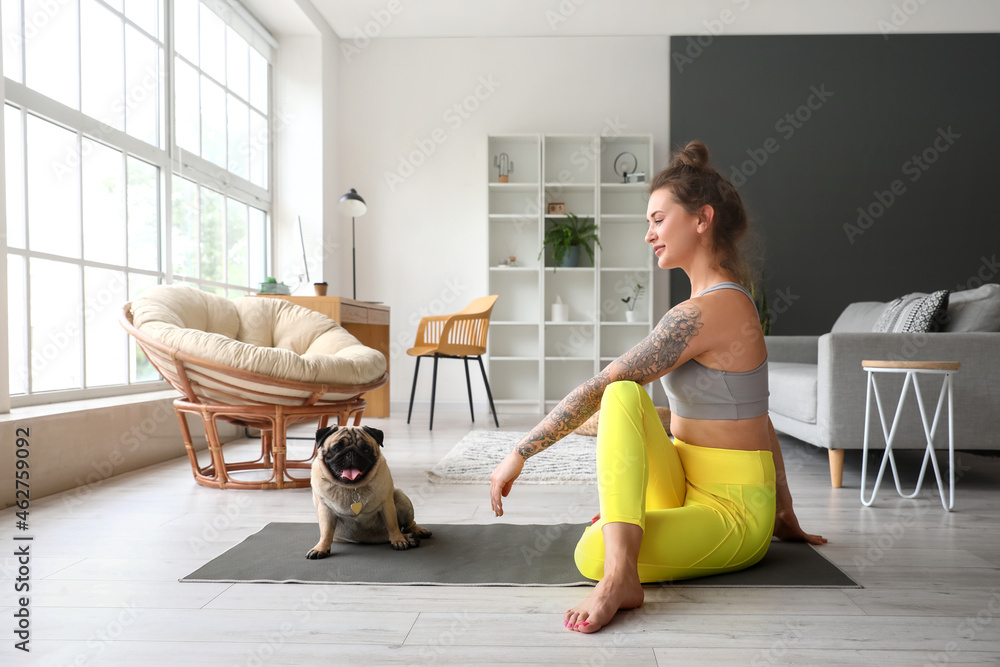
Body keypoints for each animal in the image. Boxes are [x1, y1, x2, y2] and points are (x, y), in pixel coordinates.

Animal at [302, 426, 432, 560]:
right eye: (336, 449)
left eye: (366, 450)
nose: (351, 453)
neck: (352, 487)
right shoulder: (325, 510)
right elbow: (326, 532)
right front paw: (321, 548)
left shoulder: (387, 506)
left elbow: (392, 525)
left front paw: (398, 540)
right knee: (387, 536)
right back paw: (410, 538)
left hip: (402, 499)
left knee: (407, 525)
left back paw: (415, 533)